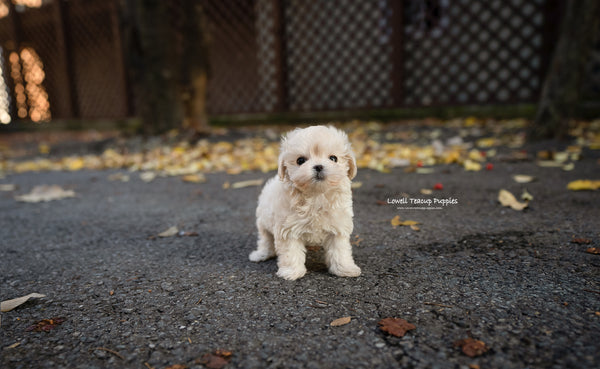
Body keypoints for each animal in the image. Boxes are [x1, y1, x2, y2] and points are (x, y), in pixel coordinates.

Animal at [248, 125, 360, 280]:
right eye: (300, 160)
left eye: (333, 158)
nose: (318, 166)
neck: (316, 195)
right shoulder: (287, 229)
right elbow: (290, 252)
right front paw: (292, 272)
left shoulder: (338, 226)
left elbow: (340, 250)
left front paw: (345, 268)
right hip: (263, 222)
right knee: (265, 239)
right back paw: (261, 254)